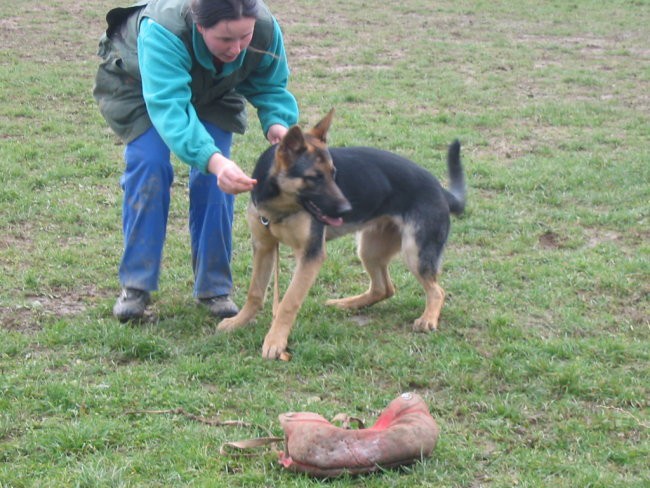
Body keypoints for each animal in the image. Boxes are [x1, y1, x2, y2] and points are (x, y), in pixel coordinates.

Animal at [219, 109, 466, 358]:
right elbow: (255, 292)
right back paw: (346, 304)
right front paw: (238, 322)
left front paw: (275, 341)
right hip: (369, 250)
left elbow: (289, 302)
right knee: (383, 288)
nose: (347, 209)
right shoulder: (264, 248)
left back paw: (428, 319)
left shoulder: (310, 256)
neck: (281, 207)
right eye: (315, 177)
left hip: (414, 253)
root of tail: (441, 190)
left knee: (437, 291)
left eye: (333, 173)